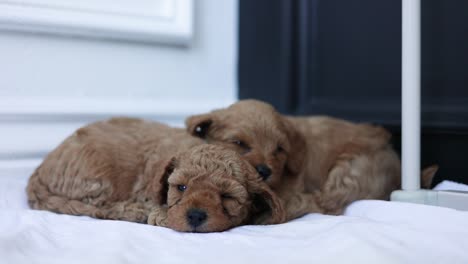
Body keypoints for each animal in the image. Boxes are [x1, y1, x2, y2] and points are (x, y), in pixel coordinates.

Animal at [29, 118, 288, 232]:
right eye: (181, 187)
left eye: (227, 197)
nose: (195, 216)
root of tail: (40, 169)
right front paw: (158, 214)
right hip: (98, 177)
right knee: (99, 206)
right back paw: (134, 211)